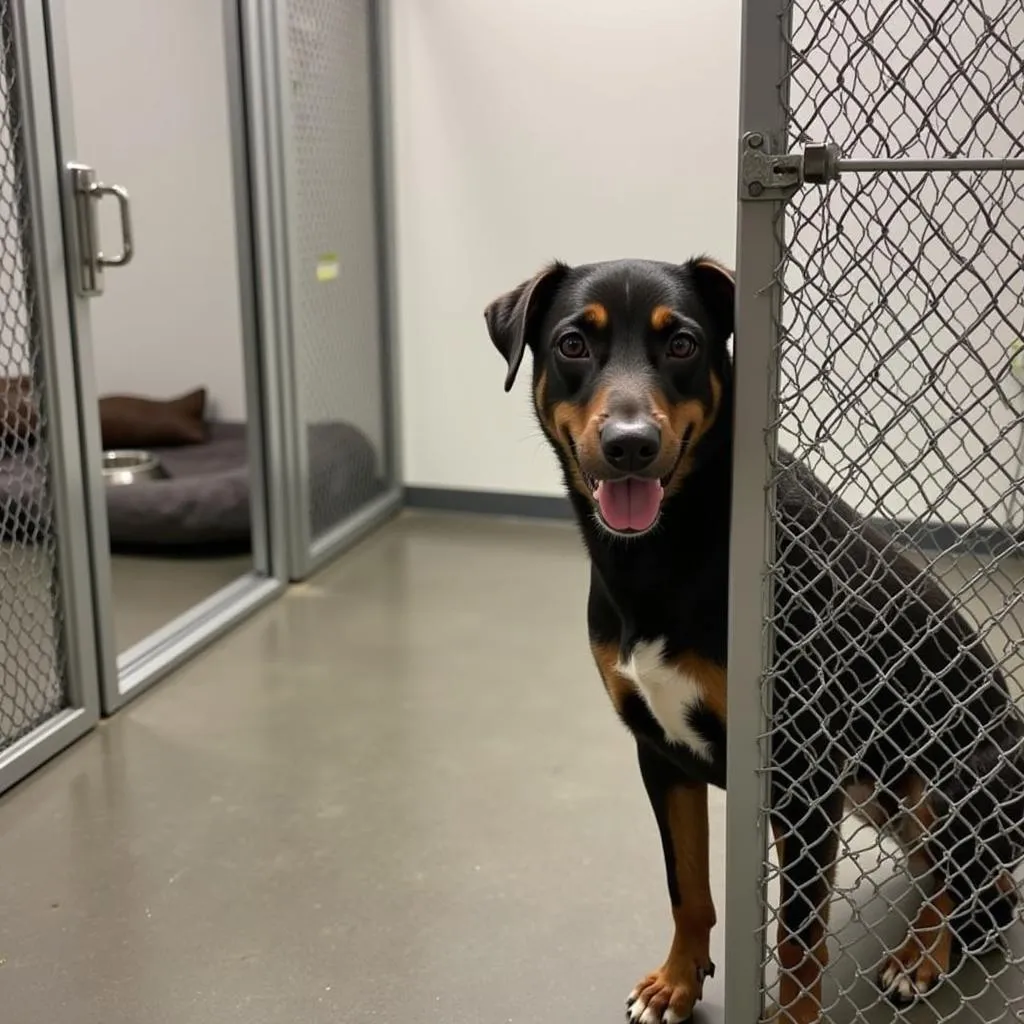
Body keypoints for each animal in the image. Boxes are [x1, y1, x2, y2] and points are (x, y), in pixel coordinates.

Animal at [481, 258, 1024, 1024]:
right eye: (572, 344)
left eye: (682, 343)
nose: (629, 444)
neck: (674, 544)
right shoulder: (661, 753)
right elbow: (688, 889)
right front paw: (677, 983)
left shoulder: (802, 776)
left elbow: (798, 937)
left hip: (957, 776)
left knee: (969, 875)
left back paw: (925, 951)